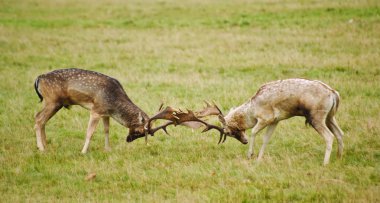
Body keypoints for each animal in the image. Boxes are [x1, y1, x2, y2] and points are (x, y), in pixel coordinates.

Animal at [190, 78, 344, 166]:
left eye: (228, 132)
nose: (244, 142)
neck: (252, 109)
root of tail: (334, 93)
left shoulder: (265, 118)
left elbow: (253, 132)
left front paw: (250, 155)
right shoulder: (275, 121)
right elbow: (266, 138)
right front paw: (259, 159)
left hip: (316, 117)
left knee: (329, 136)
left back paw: (325, 163)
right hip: (330, 117)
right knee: (340, 133)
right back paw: (338, 157)